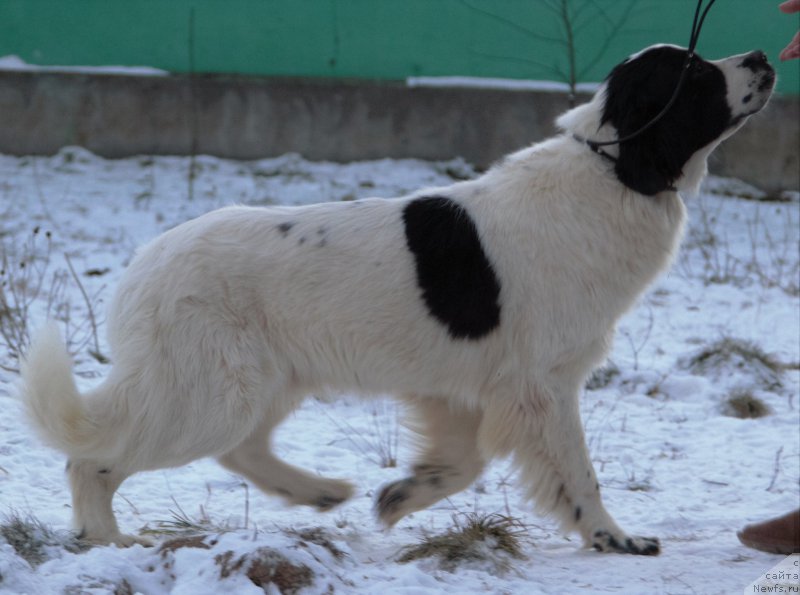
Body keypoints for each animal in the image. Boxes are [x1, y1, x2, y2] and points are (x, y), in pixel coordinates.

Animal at [21, 45, 772, 556]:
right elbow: (579, 475)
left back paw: (317, 491)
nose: (764, 56)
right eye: (696, 75)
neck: (611, 169)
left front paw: (401, 497)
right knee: (94, 458)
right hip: (209, 395)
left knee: (241, 450)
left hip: (261, 383)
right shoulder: (542, 386)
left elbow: (463, 464)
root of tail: (144, 262)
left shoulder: (463, 387)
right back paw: (106, 539)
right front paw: (615, 539)